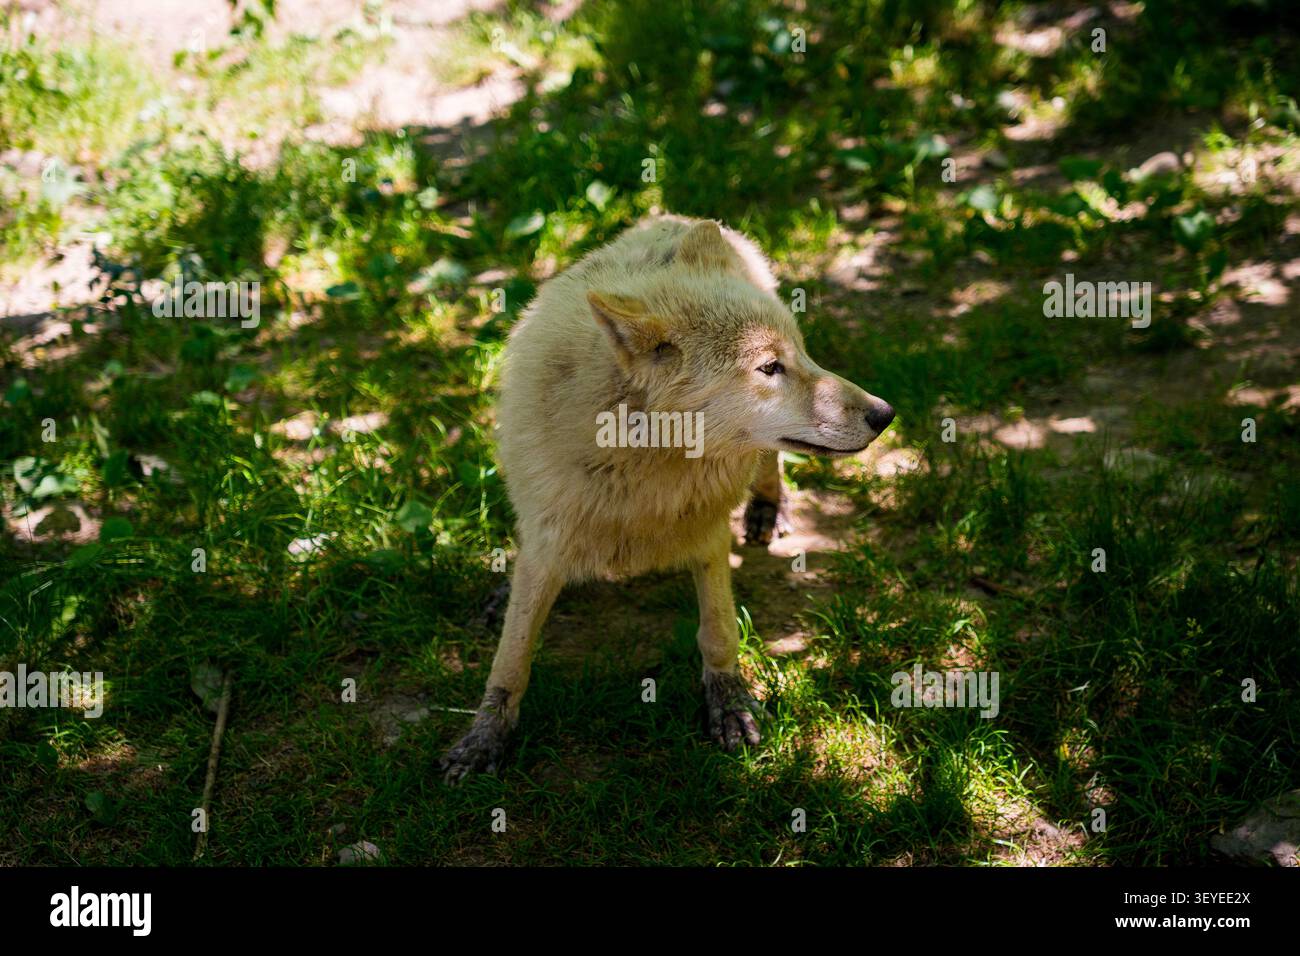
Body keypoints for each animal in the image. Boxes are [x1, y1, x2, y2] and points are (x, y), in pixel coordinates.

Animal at [441, 216, 894, 781]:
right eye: (769, 368)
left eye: (800, 357)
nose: (884, 413)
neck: (640, 468)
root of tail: (677, 218)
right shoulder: (552, 534)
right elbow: (512, 656)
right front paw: (484, 738)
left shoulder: (707, 533)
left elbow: (718, 631)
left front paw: (730, 705)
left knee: (771, 462)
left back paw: (769, 509)